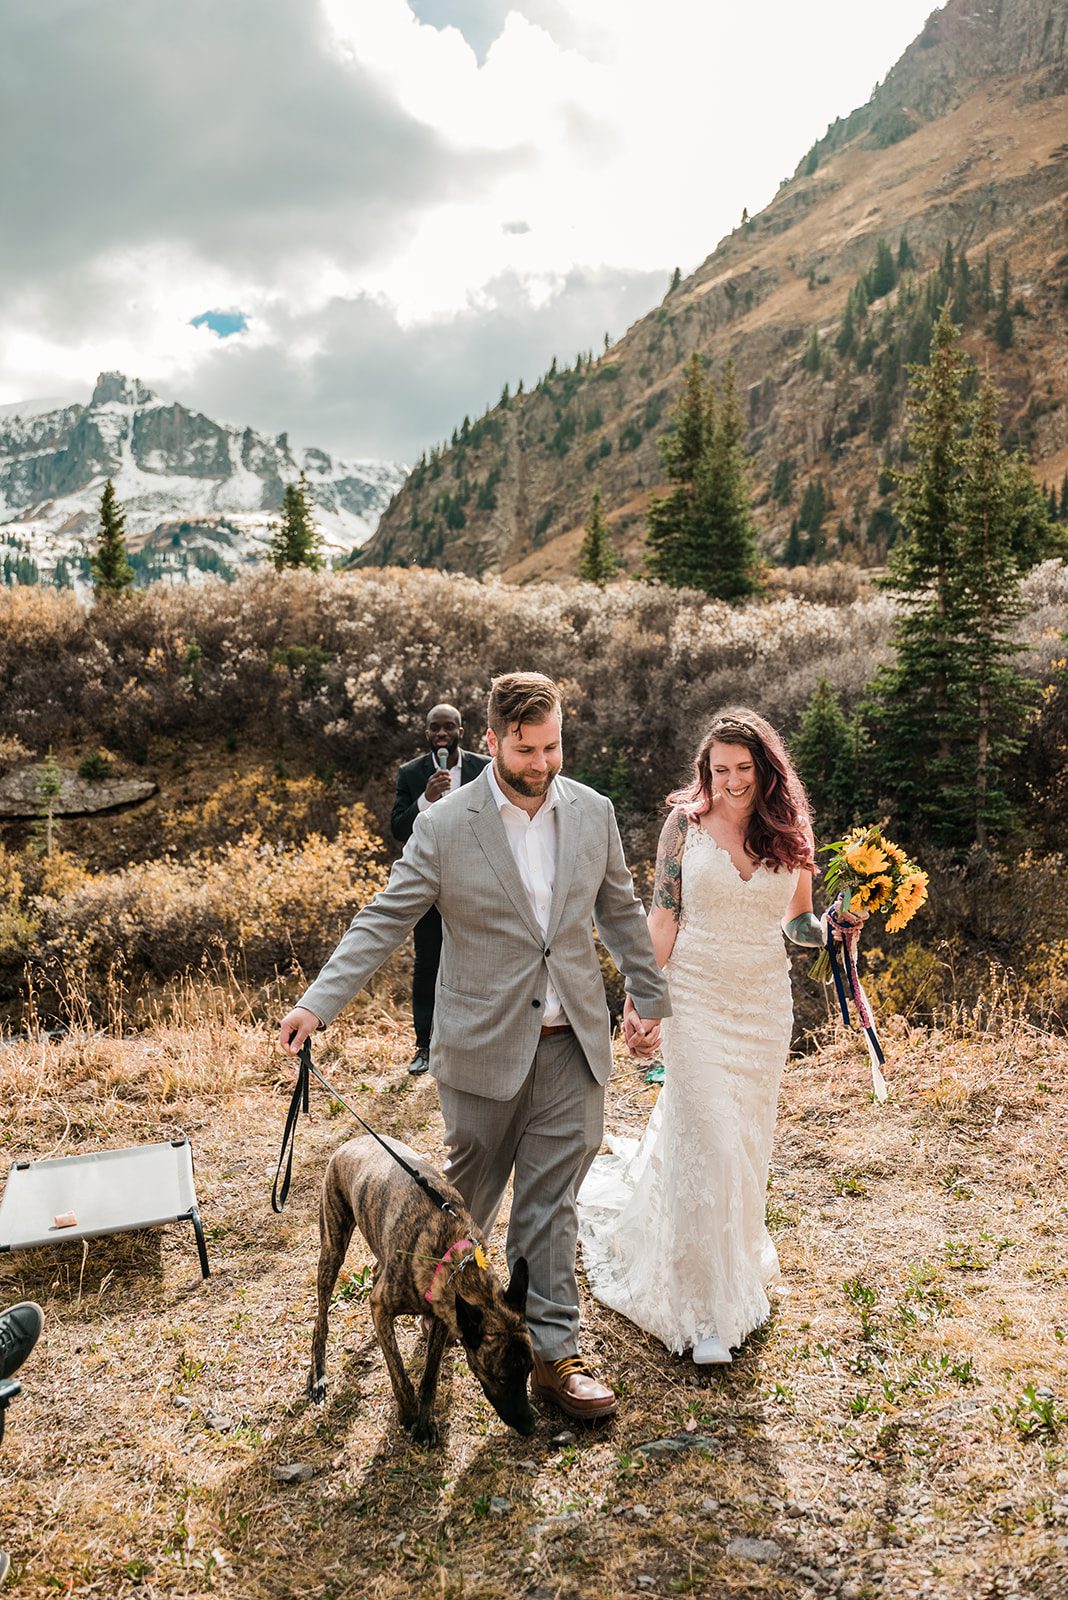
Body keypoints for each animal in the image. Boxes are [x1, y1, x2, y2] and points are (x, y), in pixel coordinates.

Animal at [308, 1132, 534, 1446]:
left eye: (529, 1371)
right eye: (501, 1378)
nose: (530, 1427)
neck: (456, 1260)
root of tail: (354, 1140)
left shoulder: (442, 1316)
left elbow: (430, 1375)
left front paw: (425, 1421)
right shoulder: (382, 1306)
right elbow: (398, 1372)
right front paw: (408, 1412)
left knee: (375, 1271)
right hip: (332, 1247)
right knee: (321, 1319)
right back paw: (318, 1375)